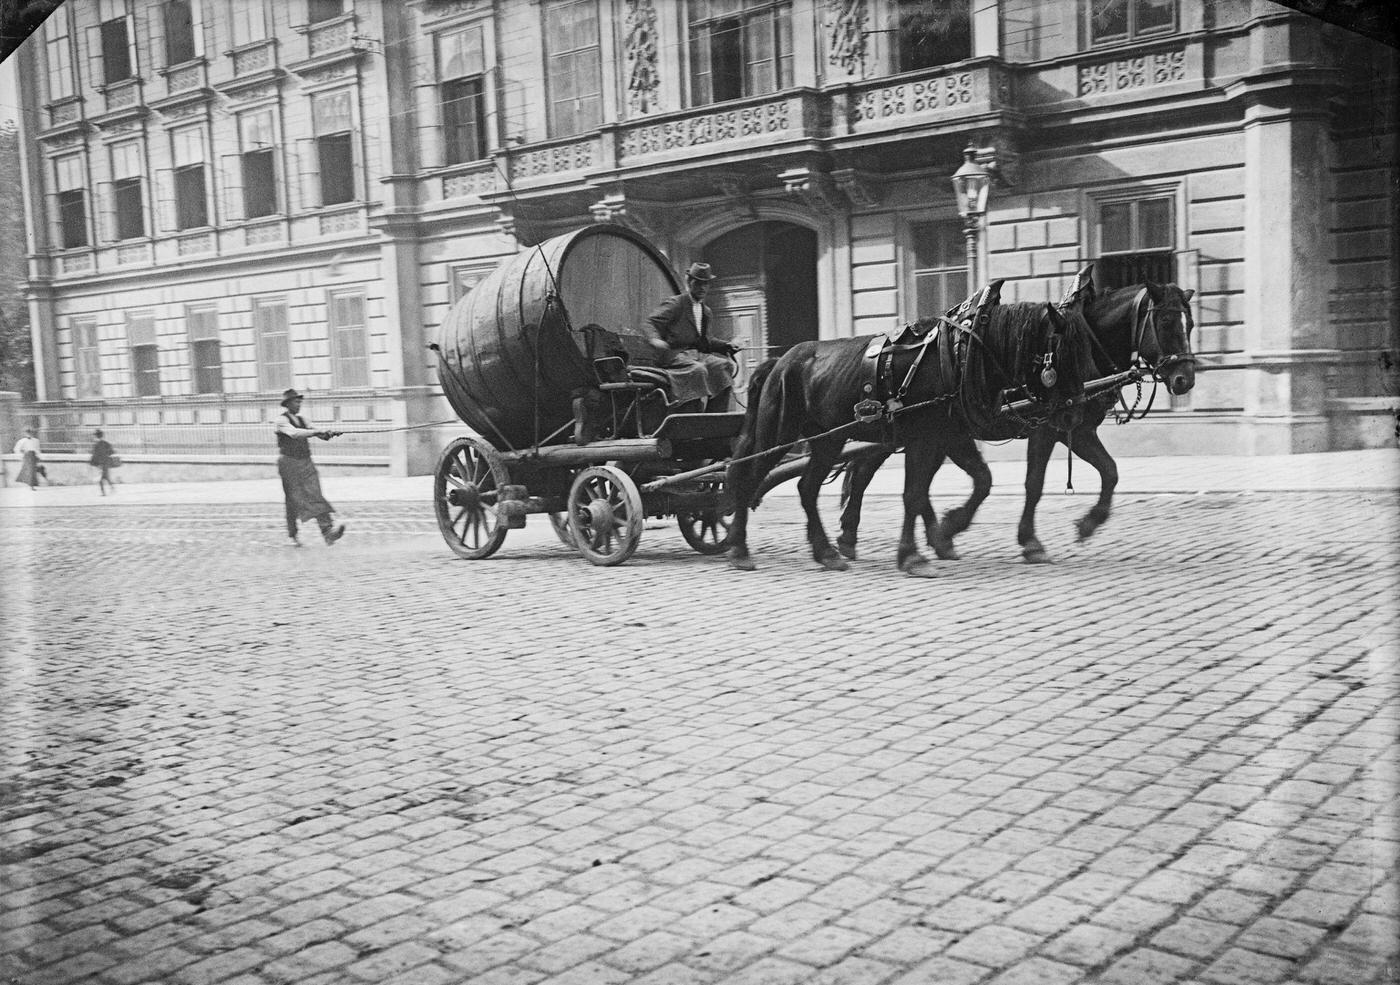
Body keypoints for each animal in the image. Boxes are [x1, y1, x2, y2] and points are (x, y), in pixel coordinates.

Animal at [728, 299, 1097, 576]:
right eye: (1064, 351)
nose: (1074, 414)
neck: (962, 354)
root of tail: (780, 360)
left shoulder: (941, 437)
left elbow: (923, 492)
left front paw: (923, 547)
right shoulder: (927, 438)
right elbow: (916, 493)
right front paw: (918, 553)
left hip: (828, 440)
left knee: (807, 487)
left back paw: (827, 552)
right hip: (779, 433)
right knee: (748, 476)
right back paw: (739, 548)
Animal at [834, 277, 1198, 565]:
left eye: (1190, 324)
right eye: (1166, 322)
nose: (1185, 379)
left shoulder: (1075, 429)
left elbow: (1110, 472)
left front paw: (1088, 523)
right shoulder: (1046, 429)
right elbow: (1030, 483)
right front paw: (1029, 541)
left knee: (894, 480)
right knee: (864, 472)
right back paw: (852, 535)